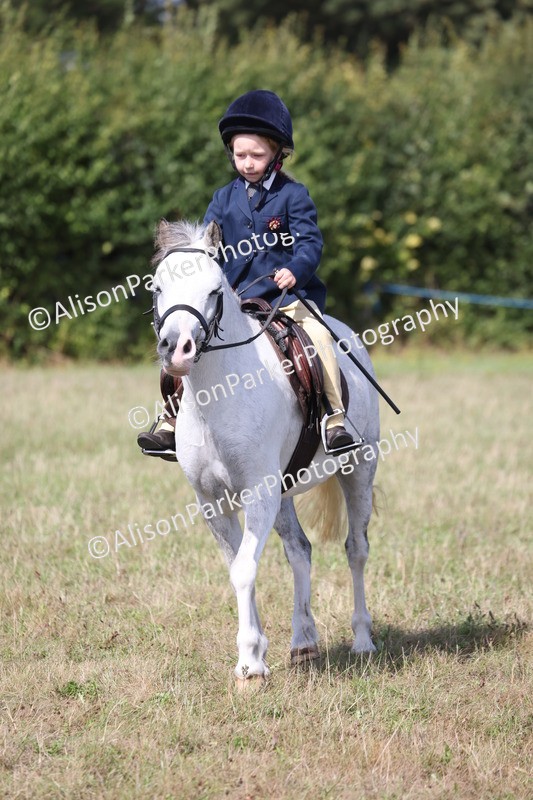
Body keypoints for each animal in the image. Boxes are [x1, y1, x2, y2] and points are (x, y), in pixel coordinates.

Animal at [151, 219, 379, 684]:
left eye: (214, 289)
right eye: (158, 287)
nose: (176, 349)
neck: (218, 395)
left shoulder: (258, 492)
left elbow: (244, 569)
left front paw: (249, 663)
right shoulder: (213, 500)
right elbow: (239, 567)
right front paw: (256, 653)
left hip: (359, 470)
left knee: (356, 550)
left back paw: (363, 640)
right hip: (284, 493)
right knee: (300, 551)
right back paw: (304, 643)